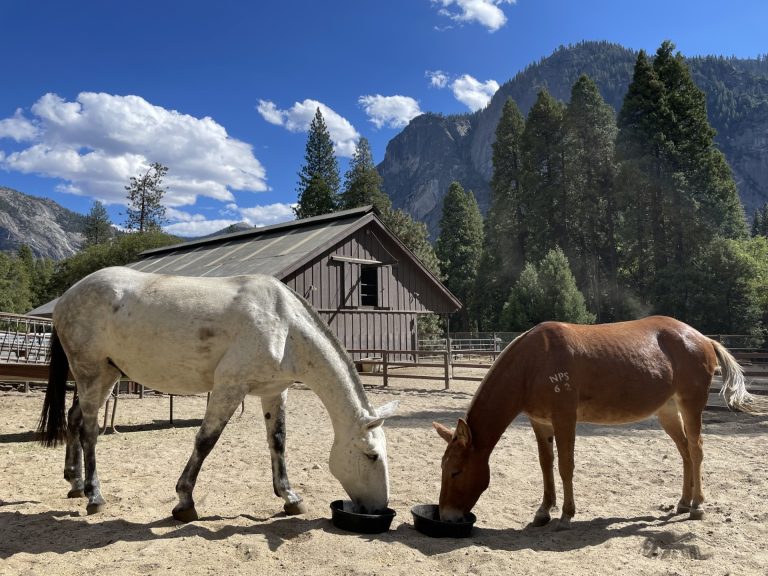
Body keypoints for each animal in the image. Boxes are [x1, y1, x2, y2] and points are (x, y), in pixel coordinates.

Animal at [38, 266, 398, 522]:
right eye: (371, 455)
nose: (379, 509)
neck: (284, 325)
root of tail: (68, 296)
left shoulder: (274, 392)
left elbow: (278, 441)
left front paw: (289, 497)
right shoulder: (229, 387)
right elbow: (205, 441)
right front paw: (184, 502)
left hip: (107, 375)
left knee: (74, 420)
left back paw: (75, 484)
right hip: (91, 372)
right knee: (89, 430)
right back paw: (94, 496)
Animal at [433, 316, 768, 530]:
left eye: (455, 472)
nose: (447, 516)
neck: (533, 363)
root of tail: (703, 339)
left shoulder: (564, 418)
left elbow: (565, 465)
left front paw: (566, 515)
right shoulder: (540, 423)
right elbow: (545, 465)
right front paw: (543, 511)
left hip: (690, 406)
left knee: (696, 451)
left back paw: (697, 506)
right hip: (667, 412)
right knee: (685, 452)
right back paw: (683, 502)